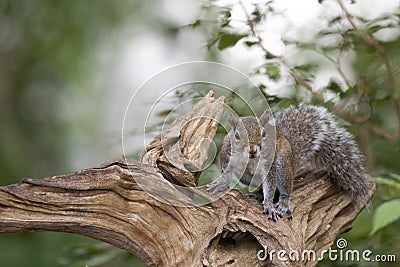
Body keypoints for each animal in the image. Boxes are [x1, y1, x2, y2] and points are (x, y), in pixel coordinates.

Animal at [209, 104, 368, 222]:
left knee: (284, 189)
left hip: (283, 163)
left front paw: (269, 205)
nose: (253, 150)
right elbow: (225, 172)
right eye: (236, 135)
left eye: (264, 133)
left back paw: (282, 203)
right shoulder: (226, 155)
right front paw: (220, 185)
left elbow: (270, 185)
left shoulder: (270, 164)